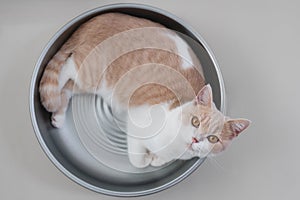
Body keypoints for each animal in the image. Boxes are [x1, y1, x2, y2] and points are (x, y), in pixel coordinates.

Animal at [39, 12, 251, 168]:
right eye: (195, 121)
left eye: (213, 138)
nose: (195, 139)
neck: (174, 147)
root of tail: (98, 18)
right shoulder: (137, 123)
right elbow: (137, 161)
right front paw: (147, 159)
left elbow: (159, 162)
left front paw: (156, 160)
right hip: (91, 72)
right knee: (66, 68)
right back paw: (55, 94)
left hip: (90, 84)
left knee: (68, 88)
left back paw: (58, 116)